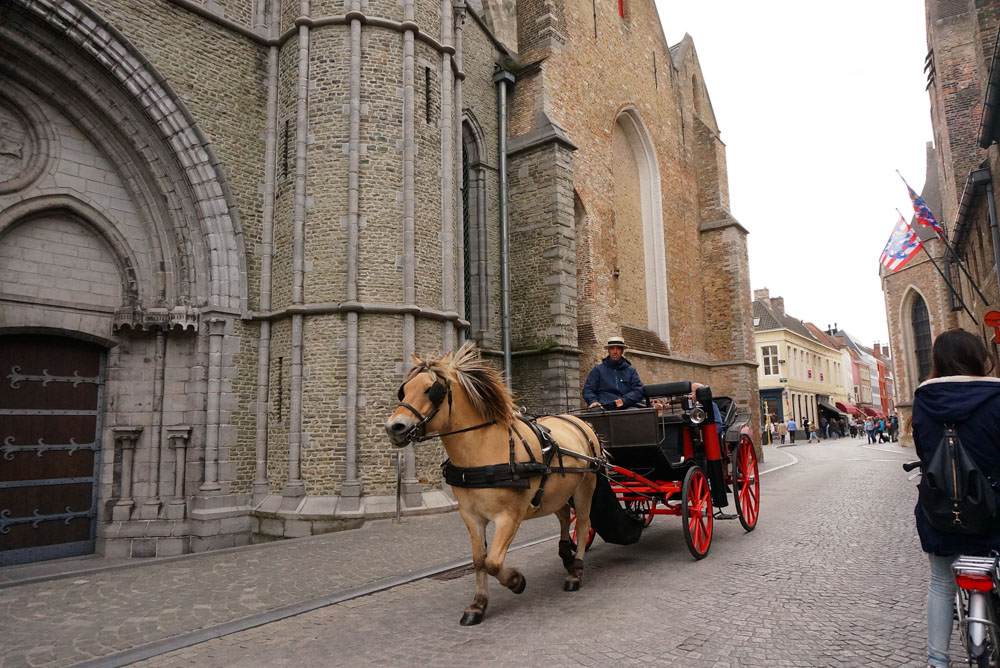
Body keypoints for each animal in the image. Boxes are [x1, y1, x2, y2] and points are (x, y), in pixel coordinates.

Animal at [386, 344, 596, 628]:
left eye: (431, 389)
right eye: (404, 389)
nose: (394, 427)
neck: (482, 451)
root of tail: (580, 422)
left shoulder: (509, 517)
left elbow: (494, 562)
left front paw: (517, 581)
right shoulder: (471, 515)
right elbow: (479, 560)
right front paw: (478, 605)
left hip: (585, 487)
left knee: (583, 525)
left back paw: (576, 571)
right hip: (556, 493)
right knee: (565, 517)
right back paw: (566, 554)